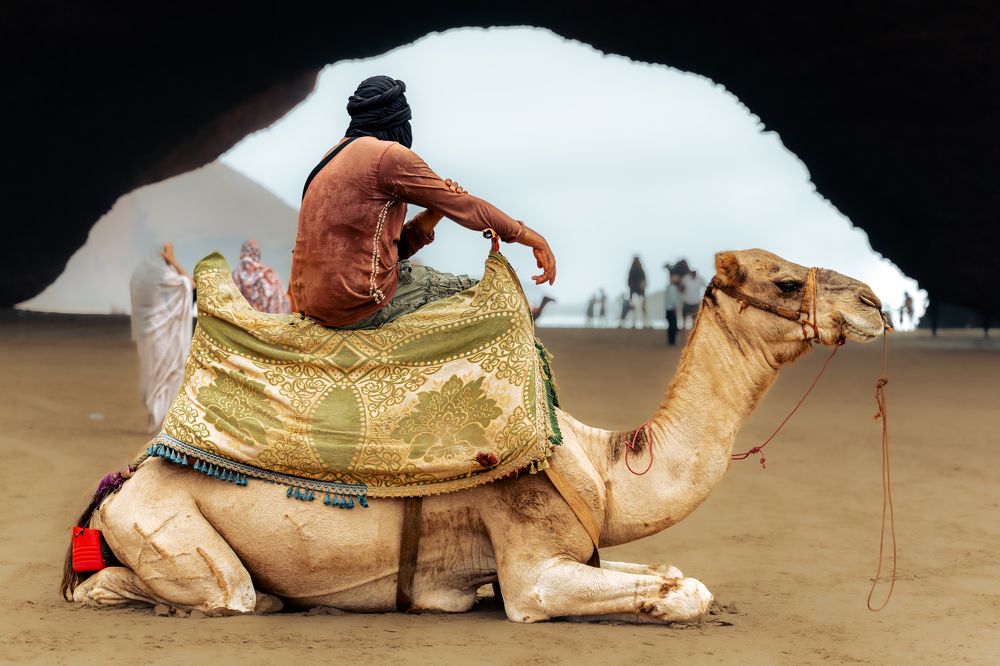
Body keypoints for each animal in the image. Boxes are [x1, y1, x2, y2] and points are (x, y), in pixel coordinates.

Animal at [64, 249, 885, 623]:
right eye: (784, 281)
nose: (875, 302)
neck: (601, 463)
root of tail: (118, 488)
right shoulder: (532, 566)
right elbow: (684, 592)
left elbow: (675, 572)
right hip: (162, 527)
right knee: (197, 590)